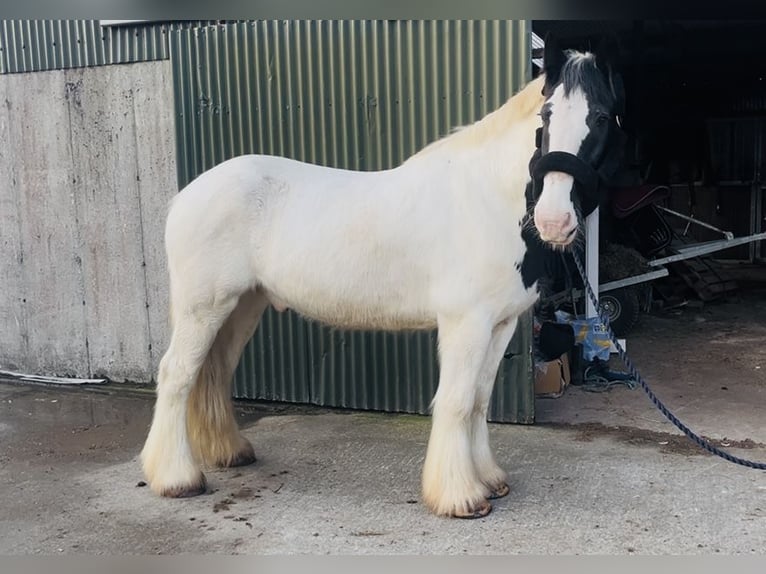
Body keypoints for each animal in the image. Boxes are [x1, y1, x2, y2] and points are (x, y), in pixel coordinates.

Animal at [140, 35, 625, 519]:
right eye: (546, 116)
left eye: (601, 117)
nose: (554, 221)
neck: (486, 199)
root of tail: (186, 195)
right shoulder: (465, 323)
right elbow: (456, 401)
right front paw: (460, 496)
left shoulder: (500, 324)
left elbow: (478, 401)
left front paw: (488, 479)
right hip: (204, 307)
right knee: (177, 375)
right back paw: (177, 479)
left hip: (242, 305)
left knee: (214, 372)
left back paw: (229, 452)